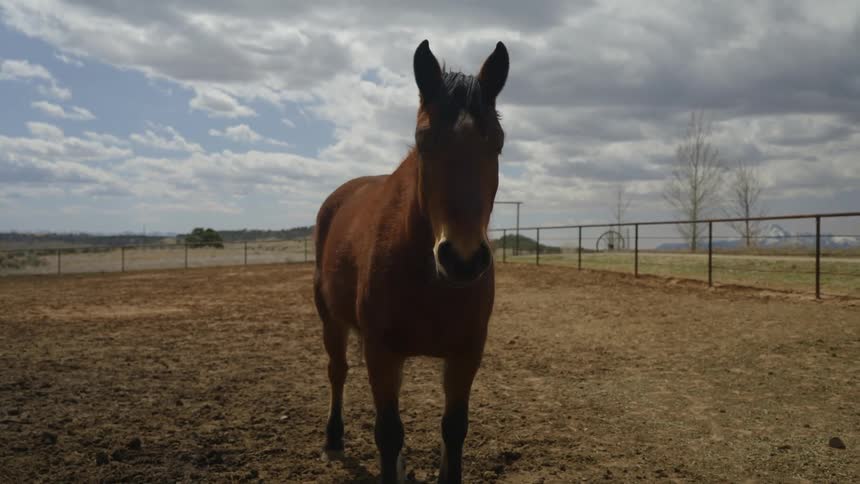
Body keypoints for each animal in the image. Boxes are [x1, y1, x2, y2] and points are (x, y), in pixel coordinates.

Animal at [313, 39, 508, 484]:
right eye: (423, 140)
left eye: (498, 142)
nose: (463, 259)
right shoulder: (380, 351)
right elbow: (388, 431)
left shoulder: (466, 353)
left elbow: (454, 429)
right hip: (331, 321)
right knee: (337, 371)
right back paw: (333, 438)